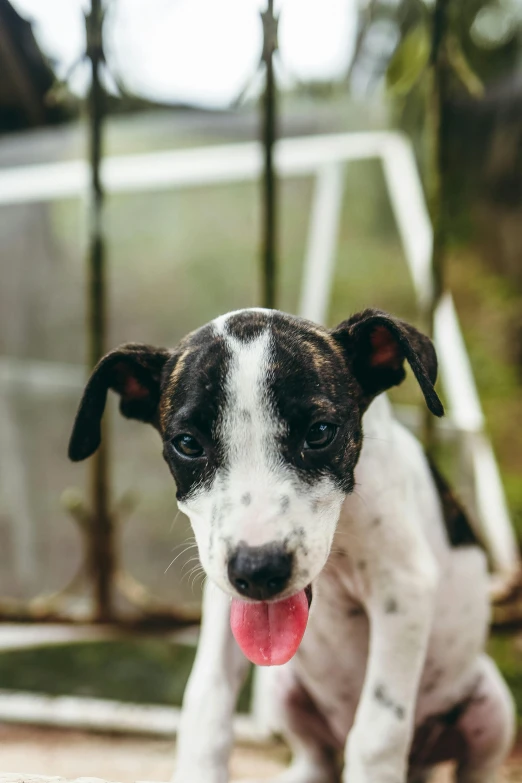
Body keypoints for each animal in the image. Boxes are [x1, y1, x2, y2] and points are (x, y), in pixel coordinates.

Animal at [66, 310, 512, 783]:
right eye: (187, 443)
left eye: (320, 433)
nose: (258, 571)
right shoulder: (224, 596)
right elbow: (207, 708)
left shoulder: (403, 590)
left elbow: (378, 732)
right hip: (281, 690)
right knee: (316, 759)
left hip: (492, 706)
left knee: (473, 767)